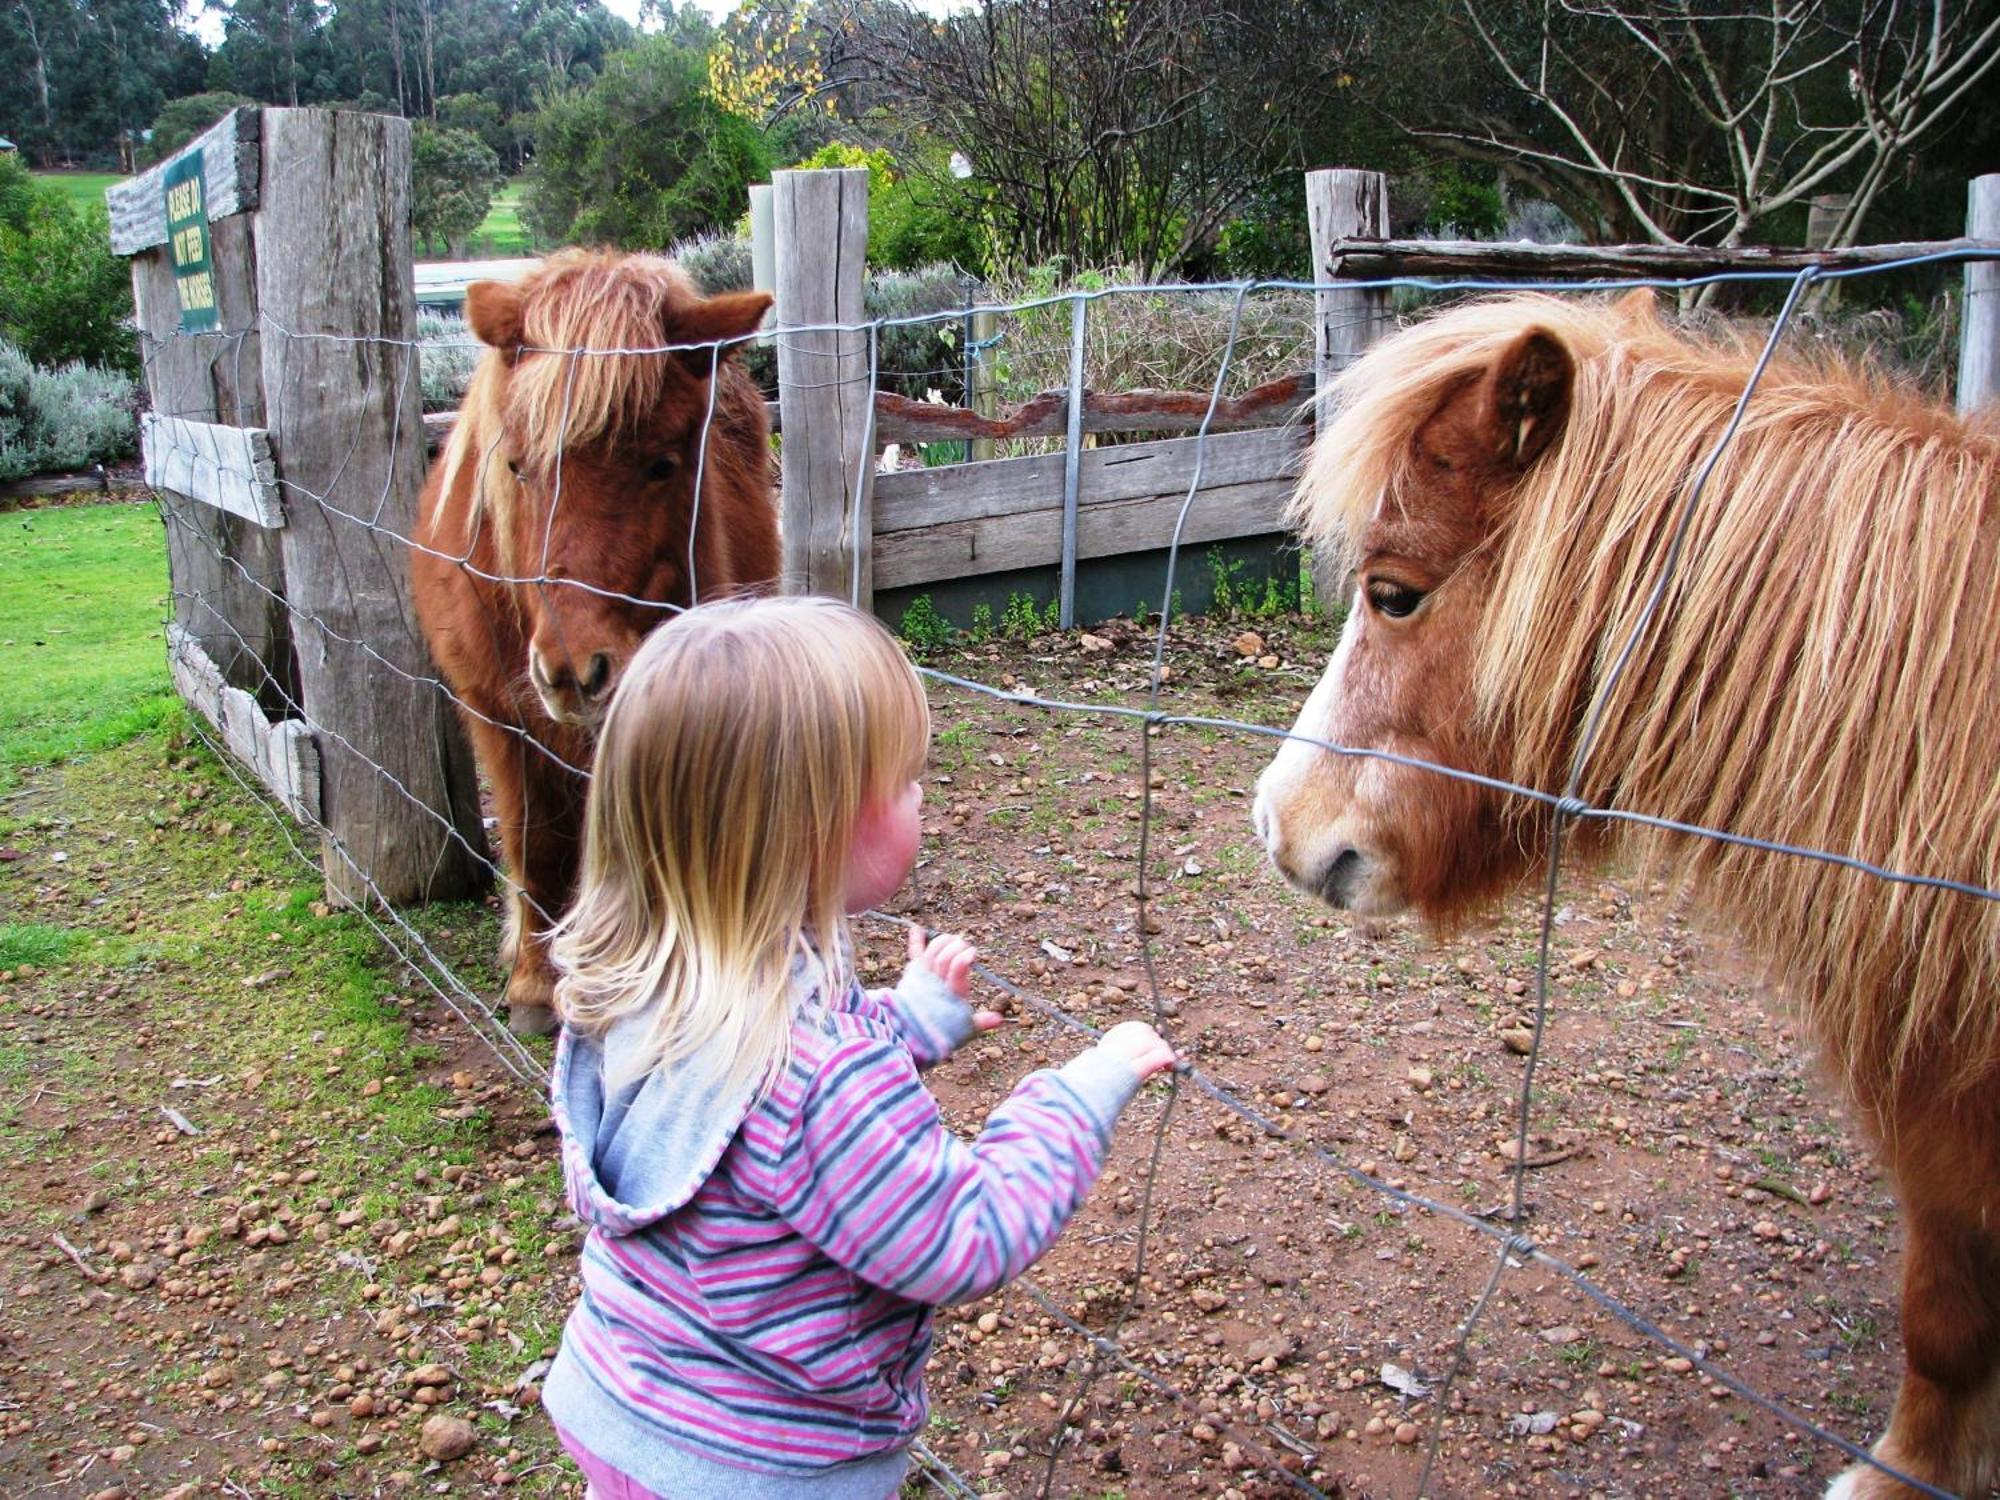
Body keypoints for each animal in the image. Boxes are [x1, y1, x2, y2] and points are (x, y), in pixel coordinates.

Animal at [410, 253, 776, 1040]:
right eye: (516, 467)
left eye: (664, 464)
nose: (575, 672)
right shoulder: (495, 711)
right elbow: (535, 842)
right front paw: (532, 983)